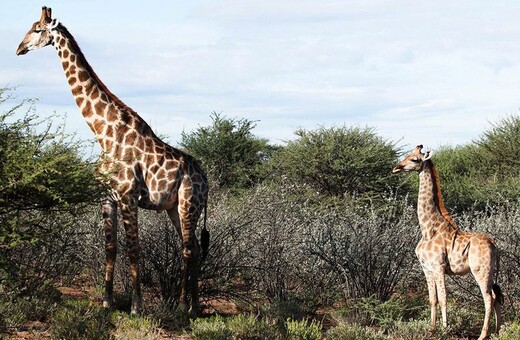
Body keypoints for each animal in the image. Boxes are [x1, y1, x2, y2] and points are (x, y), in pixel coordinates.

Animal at [15, 6, 209, 314]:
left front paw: (136, 306)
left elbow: (134, 249)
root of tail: (206, 179)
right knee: (192, 248)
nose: (19, 48)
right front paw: (106, 301)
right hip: (174, 208)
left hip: (189, 204)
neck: (103, 133)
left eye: (37, 29)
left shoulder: (128, 196)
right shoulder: (106, 197)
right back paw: (192, 305)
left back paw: (185, 306)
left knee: (190, 249)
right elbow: (111, 248)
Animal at [394, 145, 504, 338]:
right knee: (497, 296)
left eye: (415, 159)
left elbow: (444, 299)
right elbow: (432, 299)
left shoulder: (439, 267)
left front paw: (445, 329)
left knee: (488, 298)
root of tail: (494, 244)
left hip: (480, 270)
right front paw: (431, 329)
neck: (428, 229)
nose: (397, 168)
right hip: (490, 272)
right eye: (407, 155)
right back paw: (496, 332)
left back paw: (482, 335)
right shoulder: (427, 268)